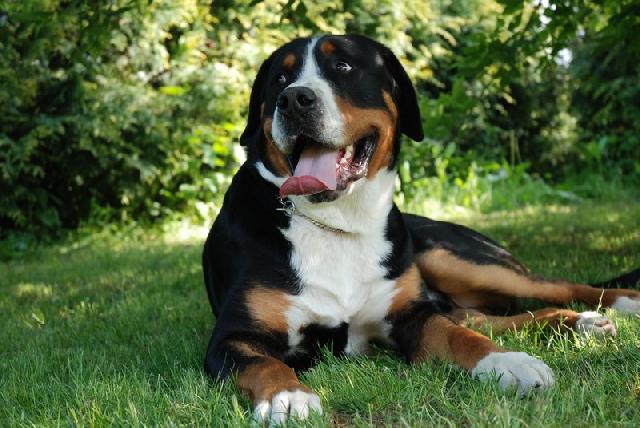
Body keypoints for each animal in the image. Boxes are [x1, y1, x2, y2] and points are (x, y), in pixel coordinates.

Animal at [202, 34, 640, 424]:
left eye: (343, 66)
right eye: (279, 78)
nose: (293, 99)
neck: (340, 223)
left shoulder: (411, 314)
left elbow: (460, 338)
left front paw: (509, 361)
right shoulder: (234, 337)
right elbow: (264, 364)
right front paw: (288, 396)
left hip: (453, 258)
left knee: (552, 288)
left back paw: (616, 306)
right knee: (484, 317)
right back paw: (583, 322)